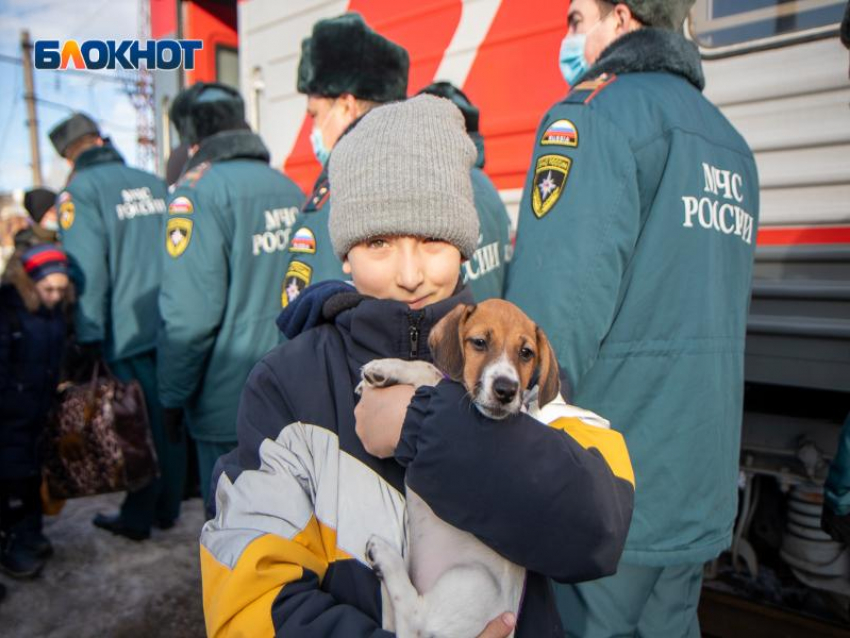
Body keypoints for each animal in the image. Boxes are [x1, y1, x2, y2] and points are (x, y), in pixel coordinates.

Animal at [360, 300, 564, 638]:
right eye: (479, 342)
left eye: (526, 353)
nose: (506, 390)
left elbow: (429, 371)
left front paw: (385, 368)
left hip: (471, 581)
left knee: (415, 614)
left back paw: (385, 556)